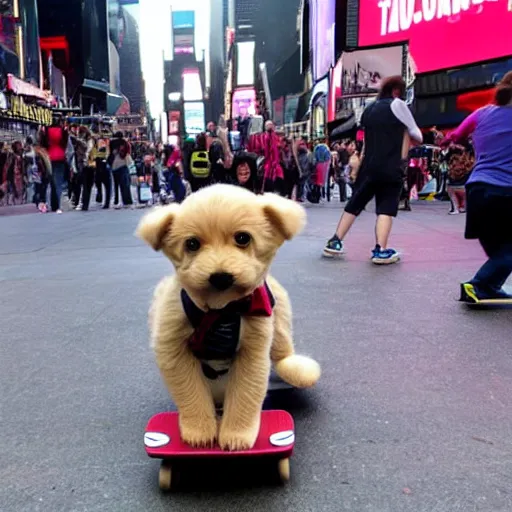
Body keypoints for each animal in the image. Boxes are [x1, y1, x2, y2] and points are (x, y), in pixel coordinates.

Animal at [136, 186, 320, 450]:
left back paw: (296, 368)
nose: (220, 277)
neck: (219, 311)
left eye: (243, 238)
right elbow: (189, 391)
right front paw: (199, 432)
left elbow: (246, 394)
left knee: (283, 345)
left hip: (280, 310)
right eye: (192, 243)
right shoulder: (172, 346)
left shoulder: (253, 349)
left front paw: (237, 436)